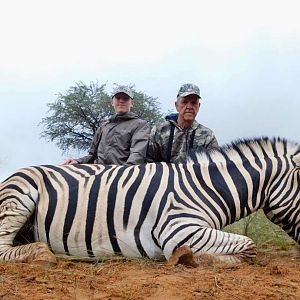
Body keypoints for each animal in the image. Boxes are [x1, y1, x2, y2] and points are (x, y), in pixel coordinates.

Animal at [0, 137, 298, 264]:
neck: (207, 187)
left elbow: (247, 246)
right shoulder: (179, 229)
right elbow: (249, 246)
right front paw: (188, 258)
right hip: (19, 198)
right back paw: (47, 255)